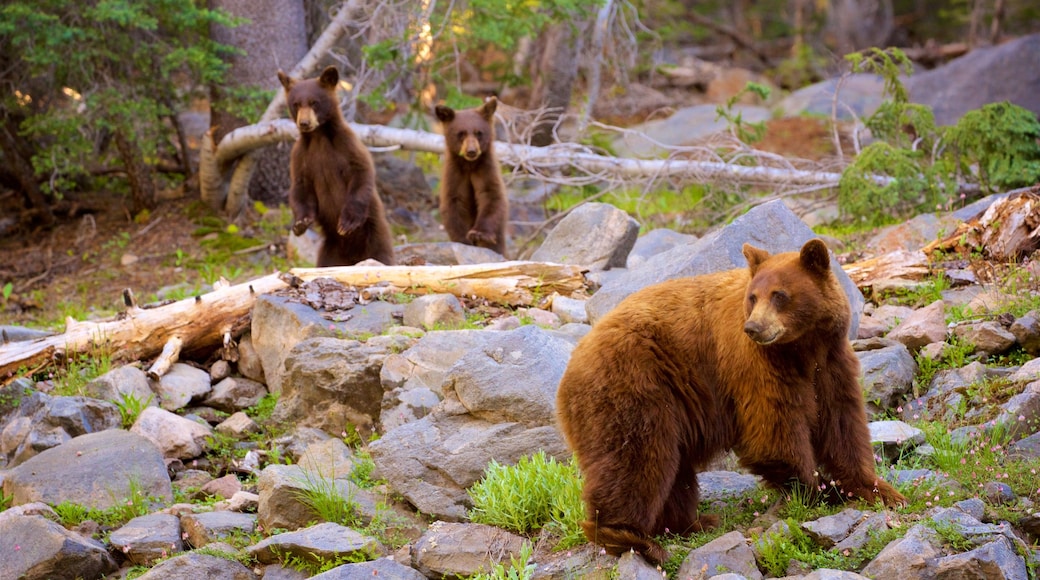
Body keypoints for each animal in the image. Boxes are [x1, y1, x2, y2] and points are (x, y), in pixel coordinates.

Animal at [278, 66, 395, 268]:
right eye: (296, 104)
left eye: (314, 102)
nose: (304, 123)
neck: (318, 138)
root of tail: (353, 257)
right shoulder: (300, 155)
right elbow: (300, 187)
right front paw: (300, 223)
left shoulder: (346, 144)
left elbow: (361, 173)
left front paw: (347, 222)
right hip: (329, 254)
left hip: (376, 240)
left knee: (383, 256)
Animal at [434, 97, 507, 256]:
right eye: (461, 133)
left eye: (479, 132)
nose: (471, 151)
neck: (469, 165)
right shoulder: (454, 173)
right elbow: (454, 200)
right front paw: (463, 239)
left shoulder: (485, 169)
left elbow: (491, 195)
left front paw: (479, 234)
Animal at [557, 240, 906, 565]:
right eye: (753, 297)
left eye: (779, 295)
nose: (753, 327)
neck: (802, 349)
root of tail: (570, 369)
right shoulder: (757, 366)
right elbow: (772, 433)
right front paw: (817, 488)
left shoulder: (831, 363)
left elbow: (843, 425)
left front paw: (879, 490)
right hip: (634, 388)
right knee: (637, 459)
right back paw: (631, 538)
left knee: (672, 470)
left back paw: (689, 524)